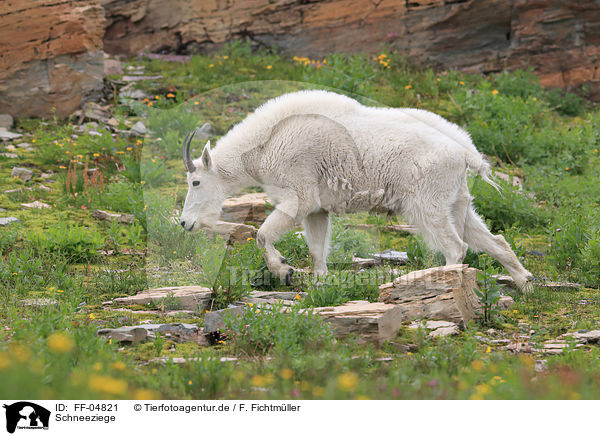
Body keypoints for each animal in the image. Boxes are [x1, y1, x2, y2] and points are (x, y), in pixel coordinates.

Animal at [179, 90, 536, 290]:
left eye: (195, 182)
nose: (185, 223)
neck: (263, 144)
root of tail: (465, 153)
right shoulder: (317, 208)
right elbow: (317, 248)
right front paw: (319, 284)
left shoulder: (300, 194)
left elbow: (263, 234)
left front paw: (284, 270)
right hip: (457, 199)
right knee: (492, 240)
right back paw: (526, 285)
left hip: (427, 202)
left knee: (456, 247)